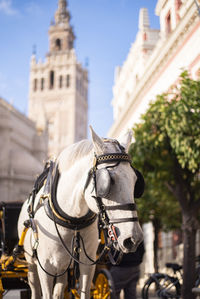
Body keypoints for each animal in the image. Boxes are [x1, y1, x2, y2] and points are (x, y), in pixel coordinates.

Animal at [17, 127, 144, 299]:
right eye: (109, 181)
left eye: (135, 181)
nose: (133, 239)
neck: (73, 222)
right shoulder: (45, 267)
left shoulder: (86, 266)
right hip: (31, 263)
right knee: (35, 289)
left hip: (64, 267)